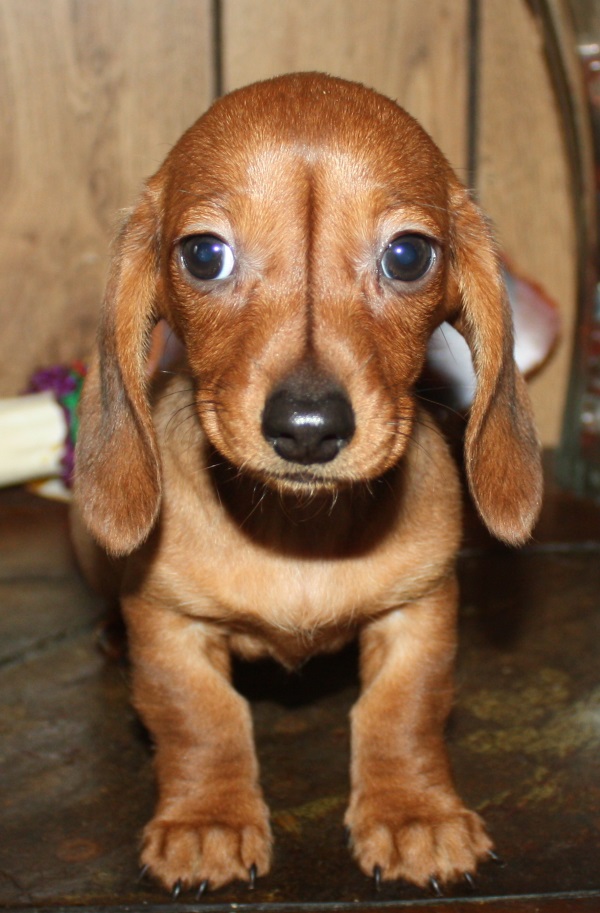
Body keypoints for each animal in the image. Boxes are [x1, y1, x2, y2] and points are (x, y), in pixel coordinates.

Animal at [72, 75, 540, 896]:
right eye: (204, 254)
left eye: (408, 255)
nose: (309, 428)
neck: (298, 532)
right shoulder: (167, 623)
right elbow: (201, 717)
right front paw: (208, 821)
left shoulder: (421, 609)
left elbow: (402, 711)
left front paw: (414, 813)